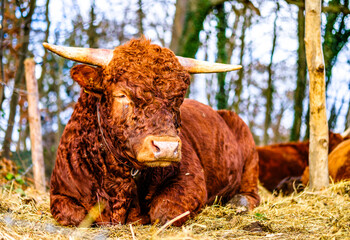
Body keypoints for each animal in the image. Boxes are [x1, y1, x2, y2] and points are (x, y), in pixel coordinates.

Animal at [44, 38, 260, 227]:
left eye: (179, 98)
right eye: (121, 94)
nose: (167, 147)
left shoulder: (191, 183)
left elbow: (163, 212)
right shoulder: (60, 193)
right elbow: (76, 216)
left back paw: (238, 202)